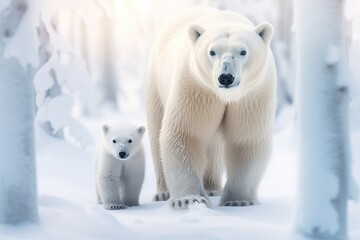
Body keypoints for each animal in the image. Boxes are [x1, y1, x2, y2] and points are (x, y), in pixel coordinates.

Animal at [145, 5, 278, 209]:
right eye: (212, 52)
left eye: (243, 51)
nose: (226, 77)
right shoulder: (195, 87)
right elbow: (186, 134)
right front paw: (190, 199)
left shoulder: (251, 95)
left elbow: (246, 139)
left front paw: (239, 200)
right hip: (156, 82)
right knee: (156, 128)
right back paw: (163, 192)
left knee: (214, 146)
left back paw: (212, 188)